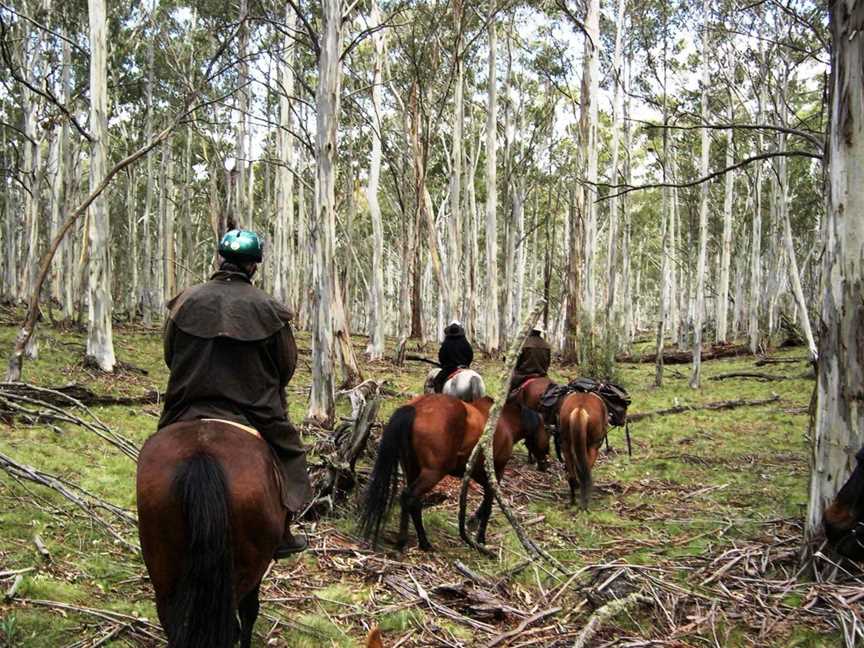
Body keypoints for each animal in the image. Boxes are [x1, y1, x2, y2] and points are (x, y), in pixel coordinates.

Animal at [358, 392, 548, 548]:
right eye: (547, 431)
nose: (545, 463)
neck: (505, 423)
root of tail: (416, 408)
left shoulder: (479, 474)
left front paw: (473, 522)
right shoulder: (495, 472)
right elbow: (488, 505)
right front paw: (480, 538)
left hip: (411, 468)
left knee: (409, 500)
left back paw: (402, 540)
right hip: (433, 473)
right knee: (409, 497)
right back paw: (423, 542)